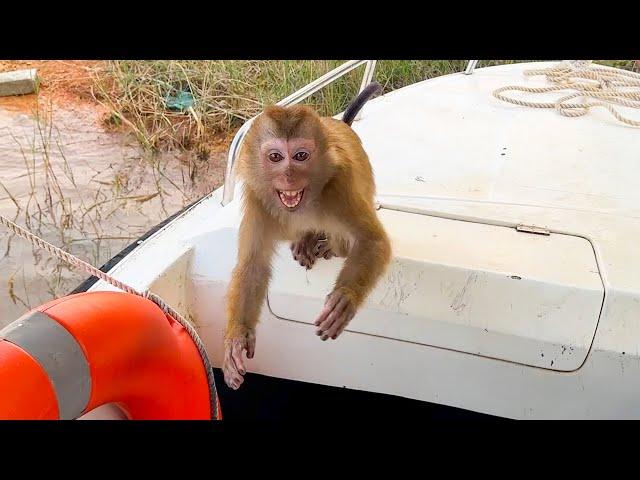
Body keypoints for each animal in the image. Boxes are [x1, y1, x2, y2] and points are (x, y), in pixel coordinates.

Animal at [222, 82, 392, 390]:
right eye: (275, 157)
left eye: (301, 156)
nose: (289, 176)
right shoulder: (256, 197)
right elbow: (253, 267)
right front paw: (237, 338)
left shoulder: (339, 185)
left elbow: (371, 241)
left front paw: (344, 297)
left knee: (344, 238)